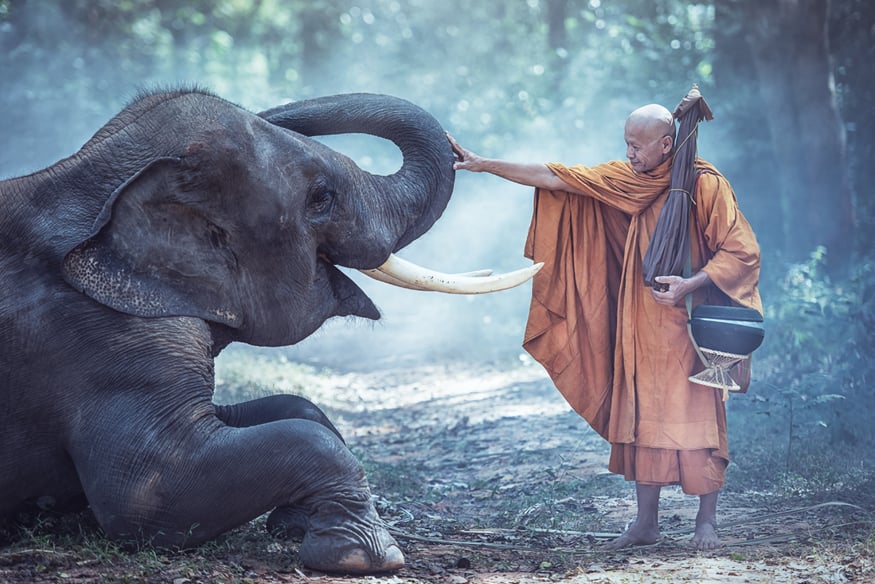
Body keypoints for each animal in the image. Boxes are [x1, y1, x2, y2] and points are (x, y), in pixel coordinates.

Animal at [0, 89, 539, 574]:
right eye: (321, 197)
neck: (84, 175)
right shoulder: (97, 337)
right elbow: (142, 495)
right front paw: (365, 556)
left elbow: (294, 408)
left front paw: (294, 523)